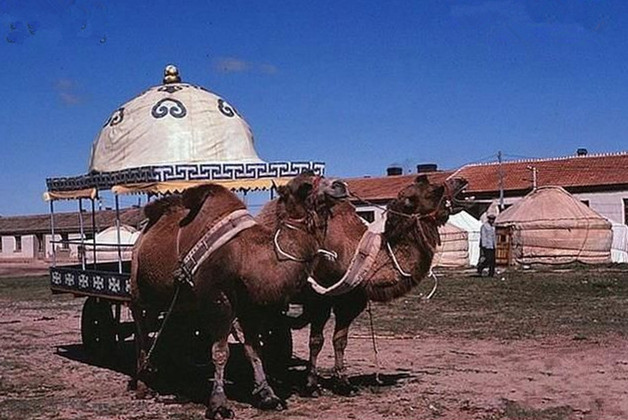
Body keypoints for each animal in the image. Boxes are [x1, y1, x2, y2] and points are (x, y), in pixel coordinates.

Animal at [129, 171, 348, 420]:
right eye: (304, 186)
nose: (340, 186)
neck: (247, 255)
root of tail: (142, 234)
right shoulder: (218, 299)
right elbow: (220, 352)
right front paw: (219, 405)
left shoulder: (249, 306)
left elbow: (253, 349)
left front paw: (268, 396)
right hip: (138, 290)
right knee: (141, 331)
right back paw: (143, 386)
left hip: (175, 301)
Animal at [284, 175, 466, 398]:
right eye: (435, 190)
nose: (461, 181)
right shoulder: (319, 300)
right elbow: (316, 341)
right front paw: (311, 385)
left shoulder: (350, 301)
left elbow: (340, 340)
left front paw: (344, 383)